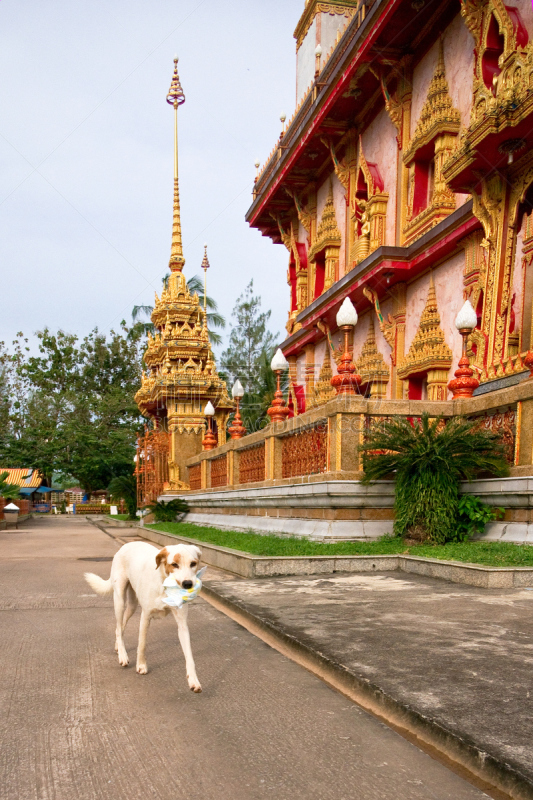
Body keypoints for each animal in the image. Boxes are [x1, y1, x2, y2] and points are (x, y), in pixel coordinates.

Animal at [84, 540, 203, 692]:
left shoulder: (182, 624)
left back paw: (118, 646)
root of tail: (127, 544)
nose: (188, 584)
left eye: (193, 563)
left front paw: (193, 680)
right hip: (119, 600)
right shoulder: (145, 617)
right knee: (119, 625)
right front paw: (141, 666)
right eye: (174, 564)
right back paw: (123, 655)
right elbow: (142, 644)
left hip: (132, 606)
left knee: (120, 628)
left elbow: (189, 655)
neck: (164, 585)